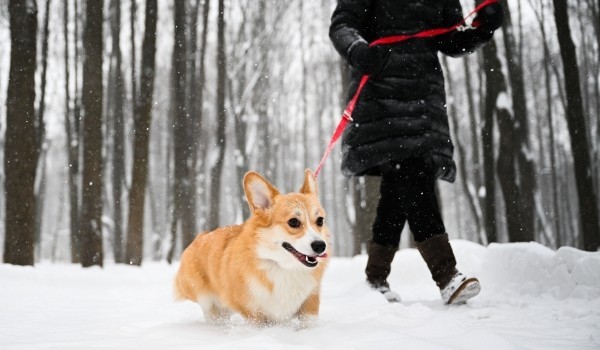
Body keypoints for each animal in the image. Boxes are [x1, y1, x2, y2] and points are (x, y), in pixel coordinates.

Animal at [173, 170, 332, 328]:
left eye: (320, 221)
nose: (320, 245)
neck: (284, 268)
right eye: (293, 222)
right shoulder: (253, 314)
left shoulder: (310, 302)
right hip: (208, 302)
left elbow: (308, 324)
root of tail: (200, 237)